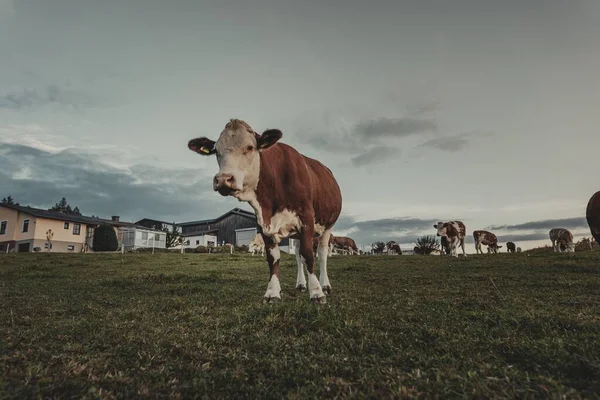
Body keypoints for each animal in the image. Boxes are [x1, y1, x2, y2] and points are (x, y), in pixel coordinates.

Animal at [190, 119, 344, 304]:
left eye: (250, 147)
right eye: (216, 151)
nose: (223, 180)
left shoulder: (306, 218)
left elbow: (308, 255)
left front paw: (316, 293)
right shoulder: (262, 223)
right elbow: (274, 258)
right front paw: (272, 292)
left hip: (327, 227)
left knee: (321, 254)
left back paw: (325, 285)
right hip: (297, 234)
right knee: (297, 254)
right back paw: (301, 284)